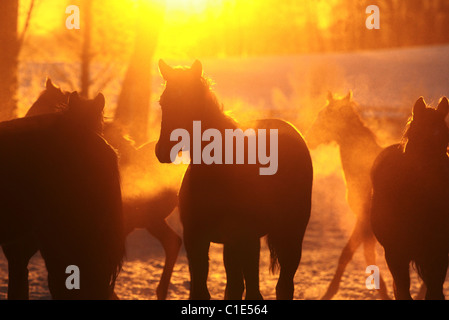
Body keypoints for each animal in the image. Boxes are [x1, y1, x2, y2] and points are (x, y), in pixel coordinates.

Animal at [154, 60, 312, 300]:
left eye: (190, 102)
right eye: (163, 102)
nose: (162, 150)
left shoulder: (243, 238)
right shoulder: (196, 239)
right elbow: (202, 290)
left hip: (289, 233)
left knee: (282, 286)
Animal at [304, 92, 388, 300]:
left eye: (325, 116)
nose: (308, 139)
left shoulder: (364, 221)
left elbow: (347, 253)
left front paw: (329, 292)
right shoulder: (367, 225)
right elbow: (368, 255)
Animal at [370, 96, 448, 298]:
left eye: (446, 139)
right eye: (418, 137)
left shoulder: (439, 254)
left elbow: (434, 292)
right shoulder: (395, 254)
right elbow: (404, 292)